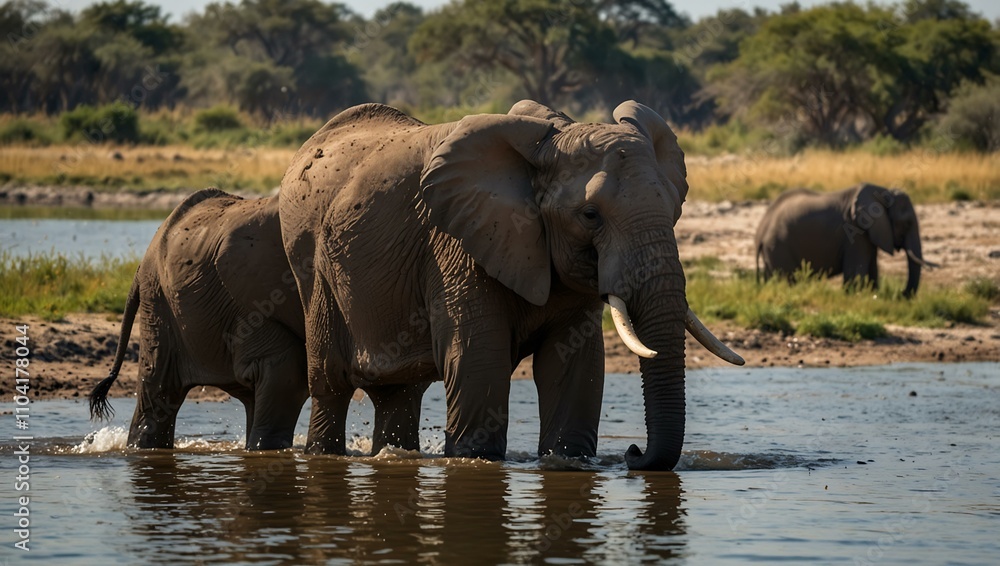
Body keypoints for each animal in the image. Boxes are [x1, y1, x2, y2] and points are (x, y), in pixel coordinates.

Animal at [278, 100, 743, 471]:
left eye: (674, 209)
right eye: (590, 215)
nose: (633, 453)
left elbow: (575, 364)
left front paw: (569, 462)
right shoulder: (457, 244)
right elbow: (479, 357)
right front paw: (474, 460)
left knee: (400, 394)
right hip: (309, 263)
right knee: (331, 385)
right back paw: (323, 454)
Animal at [754, 184, 938, 297]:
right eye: (906, 224)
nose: (899, 293)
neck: (882, 193)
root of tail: (760, 232)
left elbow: (872, 267)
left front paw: (873, 294)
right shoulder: (855, 232)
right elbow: (856, 271)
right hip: (778, 247)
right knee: (785, 279)